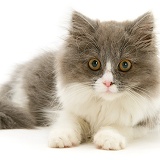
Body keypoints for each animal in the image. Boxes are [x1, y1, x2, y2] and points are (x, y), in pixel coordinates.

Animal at [0, 11, 160, 150]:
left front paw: (108, 138)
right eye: (94, 63)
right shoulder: (65, 107)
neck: (104, 104)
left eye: (125, 65)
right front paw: (62, 137)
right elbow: (70, 120)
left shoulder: (145, 120)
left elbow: (121, 126)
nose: (107, 83)